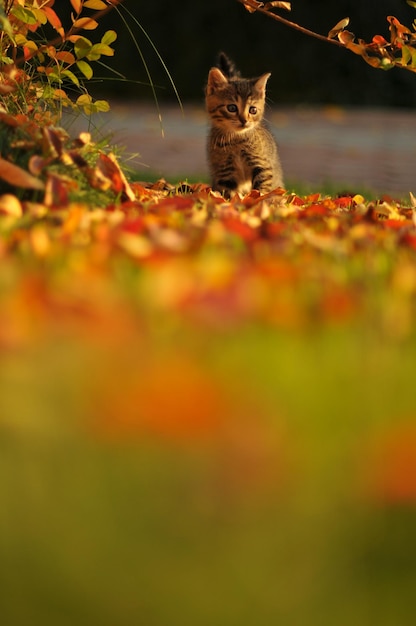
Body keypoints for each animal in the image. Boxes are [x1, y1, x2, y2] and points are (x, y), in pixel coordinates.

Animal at [205, 52, 282, 197]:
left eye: (253, 110)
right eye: (231, 108)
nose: (244, 120)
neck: (237, 140)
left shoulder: (263, 166)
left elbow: (261, 190)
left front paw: (259, 200)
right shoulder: (224, 172)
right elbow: (227, 194)